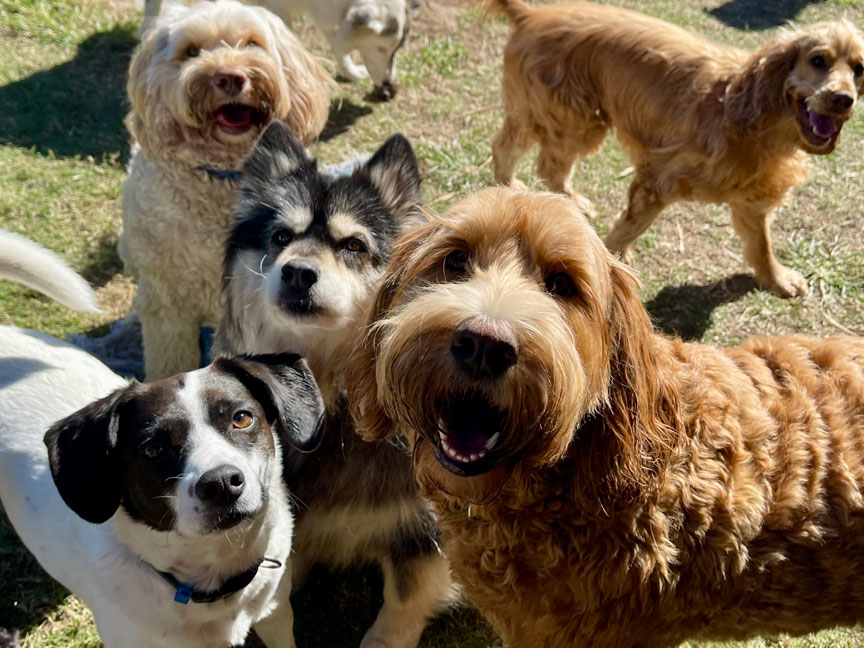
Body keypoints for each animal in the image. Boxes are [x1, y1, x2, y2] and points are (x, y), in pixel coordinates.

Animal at [120, 0, 332, 381]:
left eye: (251, 43)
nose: (230, 77)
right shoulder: (168, 304)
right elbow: (170, 361)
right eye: (191, 52)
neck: (225, 178)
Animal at [215, 119, 455, 648]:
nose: (297, 272)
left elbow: (404, 596)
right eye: (280, 235)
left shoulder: (422, 527)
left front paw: (385, 640)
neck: (331, 391)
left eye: (353, 246)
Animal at [489, 0, 864, 297]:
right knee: (527, 155)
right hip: (573, 119)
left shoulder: (751, 200)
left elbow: (761, 244)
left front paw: (777, 279)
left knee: (531, 155)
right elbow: (629, 228)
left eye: (859, 69)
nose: (843, 99)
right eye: (818, 60)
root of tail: (532, 13)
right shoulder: (657, 179)